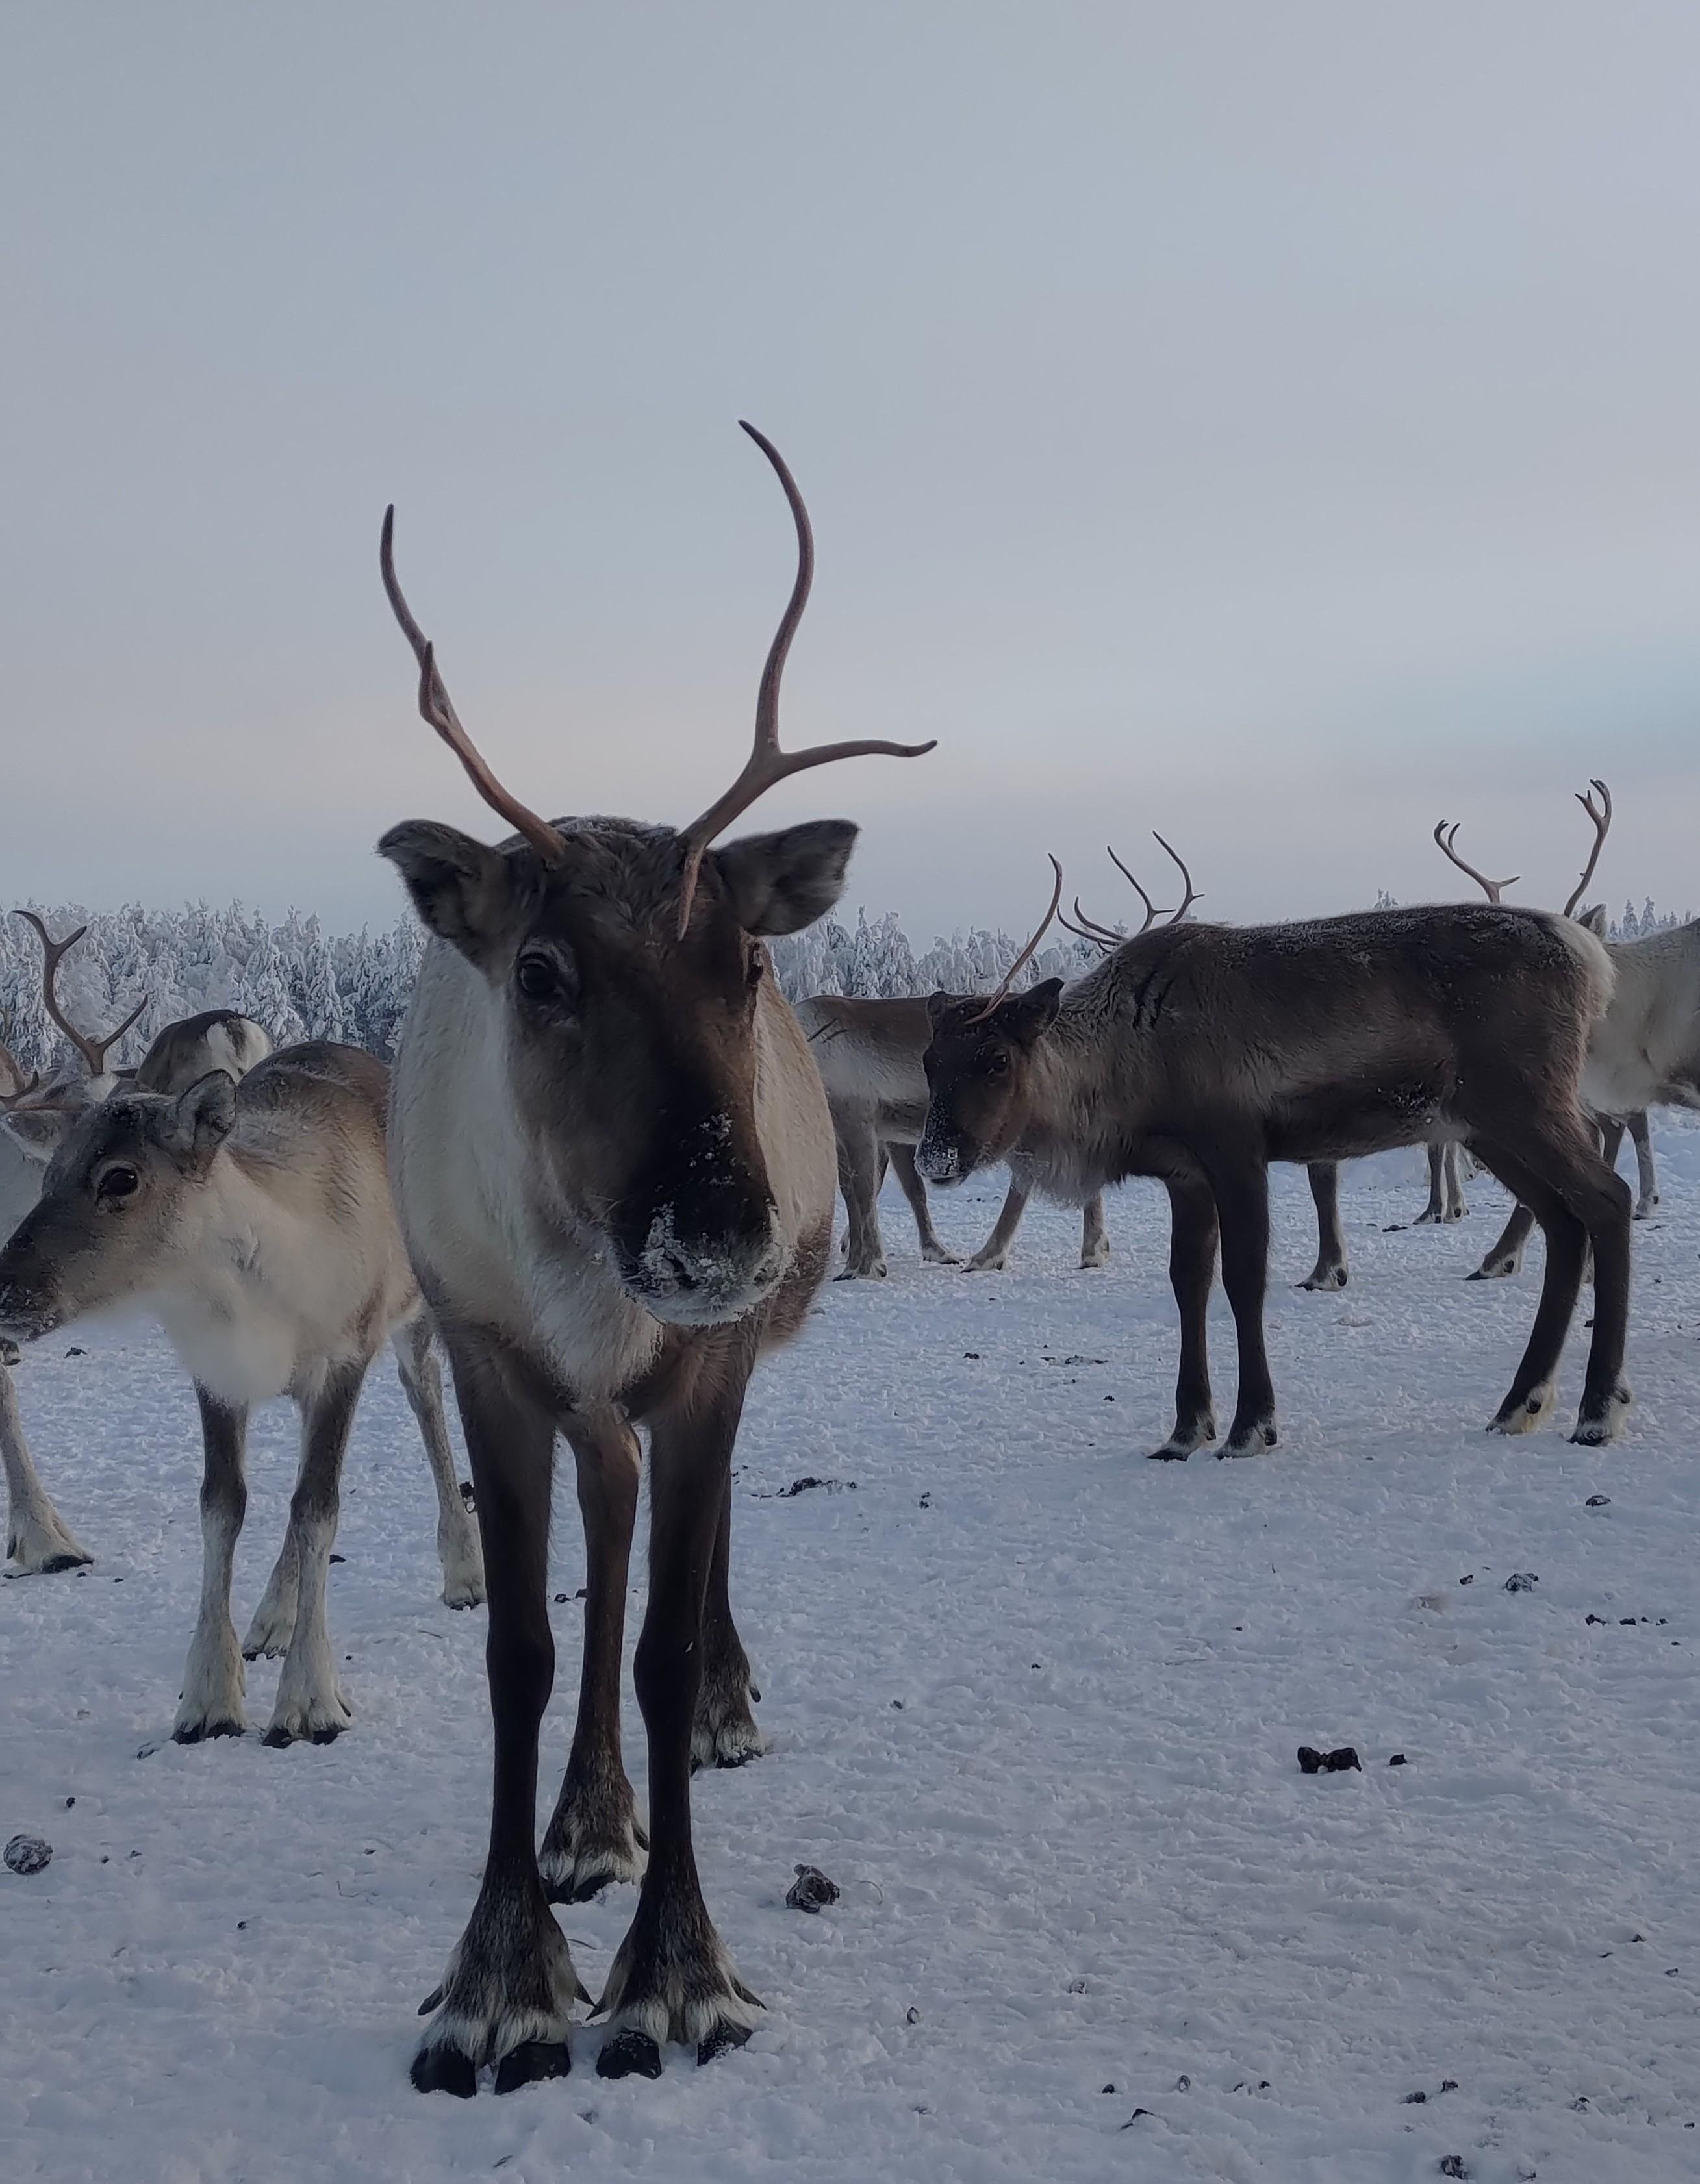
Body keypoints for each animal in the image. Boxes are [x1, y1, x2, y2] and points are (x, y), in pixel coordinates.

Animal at [374, 423, 933, 2096]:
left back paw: (702, 1733)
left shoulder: (703, 1366)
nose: (722, 1228)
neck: (582, 1269)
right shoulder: (491, 1356)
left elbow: (666, 1643)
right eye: (543, 970)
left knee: (683, 1560)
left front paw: (676, 1974)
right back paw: (586, 1816)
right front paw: (503, 1972)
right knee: (607, 1543)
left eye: (741, 960)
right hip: (583, 1400)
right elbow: (521, 1648)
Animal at [917, 859, 1630, 1458]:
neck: (1129, 1057)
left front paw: (1250, 1426)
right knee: (1562, 1222)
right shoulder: (1184, 1174)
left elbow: (1243, 1280)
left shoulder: (1236, 1151)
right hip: (1486, 1127)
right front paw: (1184, 1430)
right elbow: (1188, 1284)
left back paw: (1597, 1412)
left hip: (1524, 1103)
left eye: (995, 1058)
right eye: (928, 1060)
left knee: (1607, 1199)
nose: (933, 1158)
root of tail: (1589, 952)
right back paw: (1520, 1404)